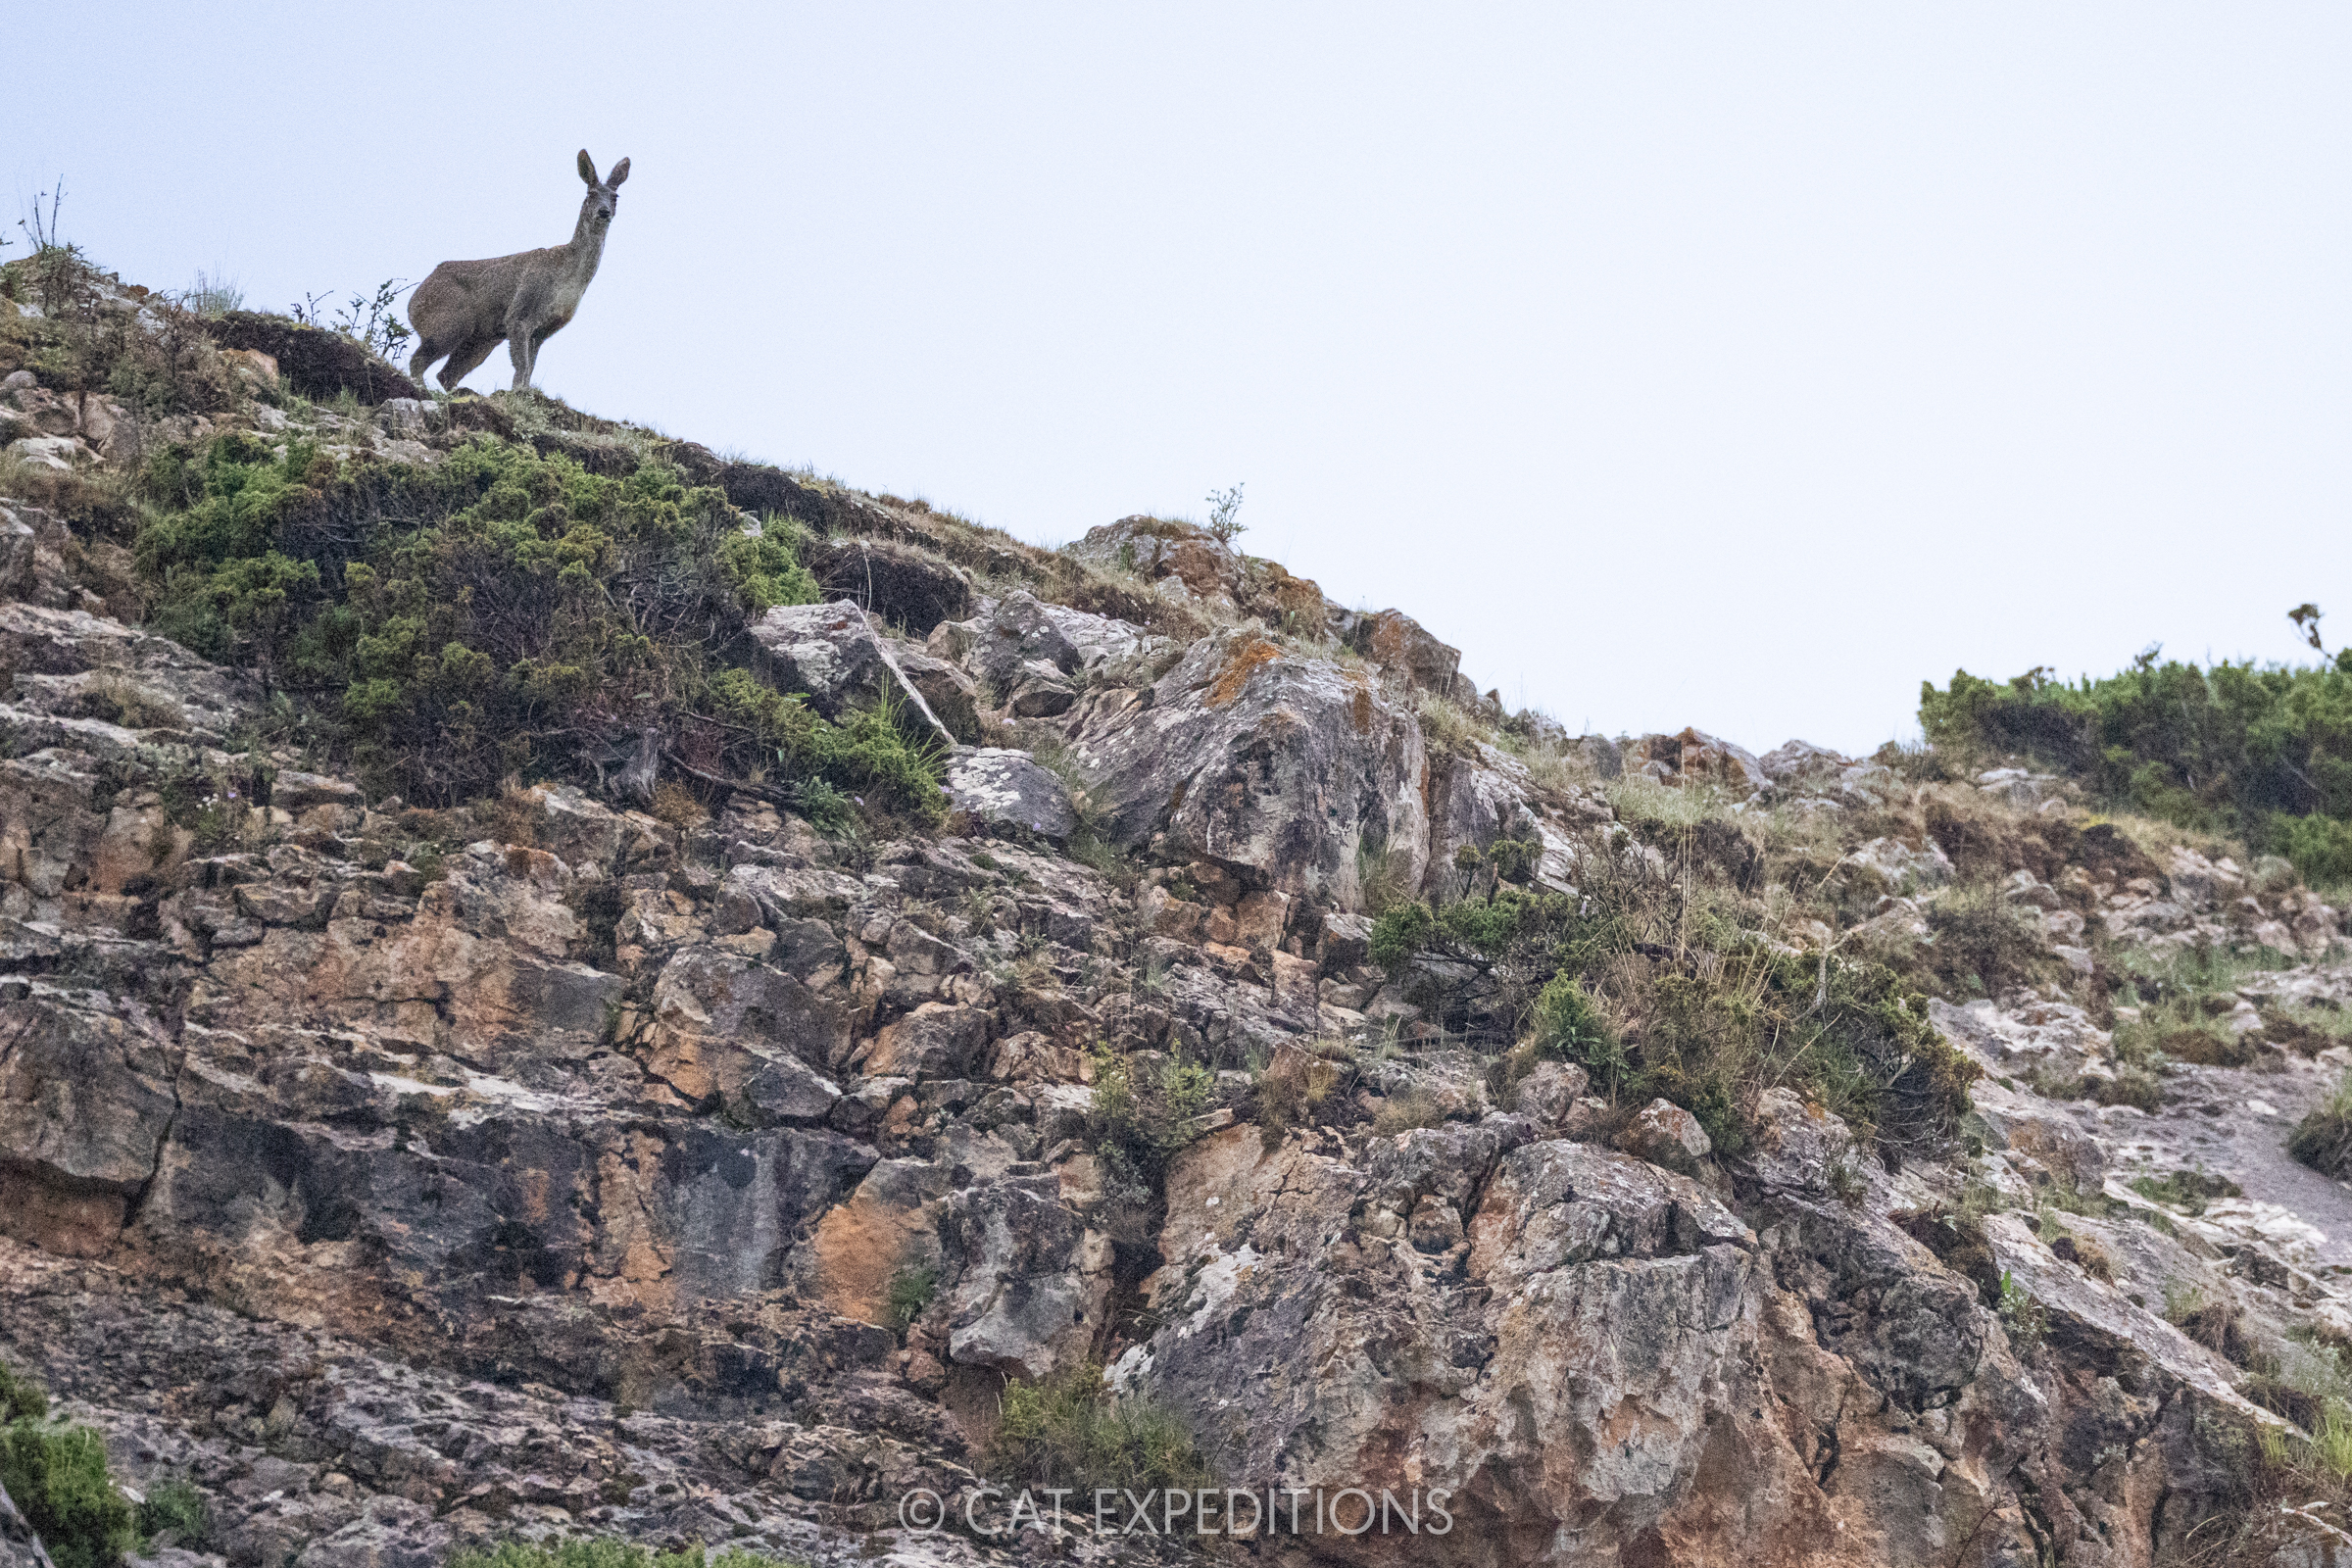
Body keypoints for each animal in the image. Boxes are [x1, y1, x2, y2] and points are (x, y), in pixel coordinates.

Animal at [407, 150, 630, 393]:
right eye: (590, 193)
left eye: (615, 197)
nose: (604, 211)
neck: (569, 276)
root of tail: (413, 301)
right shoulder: (520, 313)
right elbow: (521, 367)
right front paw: (518, 393)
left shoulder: (544, 329)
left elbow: (529, 369)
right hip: (450, 322)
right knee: (419, 361)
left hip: (482, 339)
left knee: (446, 374)